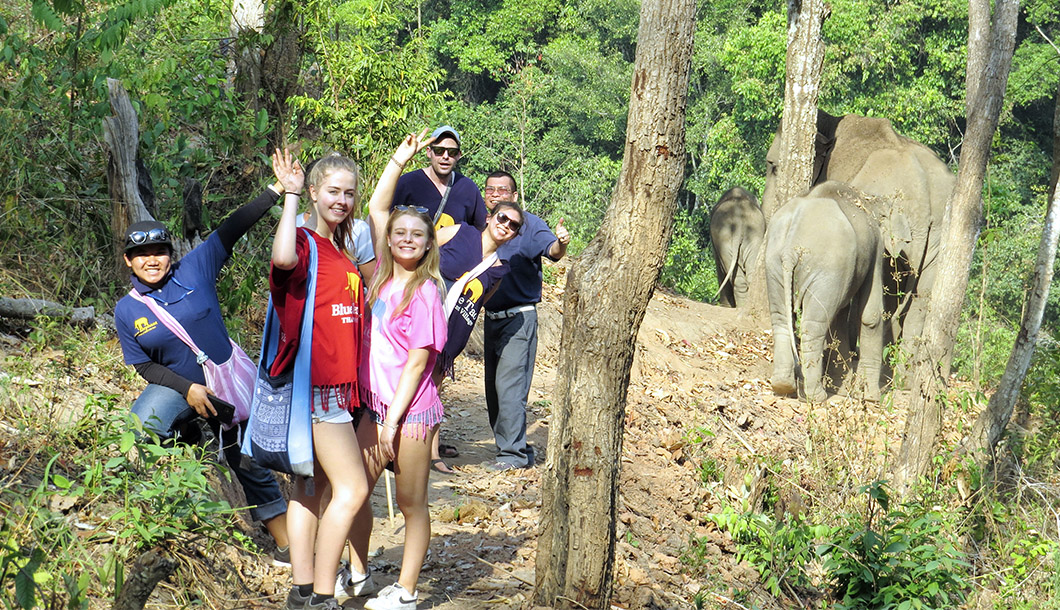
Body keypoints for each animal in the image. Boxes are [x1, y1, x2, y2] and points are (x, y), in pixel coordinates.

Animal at [767, 179, 890, 403]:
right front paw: (872, 398)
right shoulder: (876, 246)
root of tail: (789, 249)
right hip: (826, 267)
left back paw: (783, 386)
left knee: (781, 318)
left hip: (775, 262)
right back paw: (816, 396)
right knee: (814, 325)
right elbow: (871, 314)